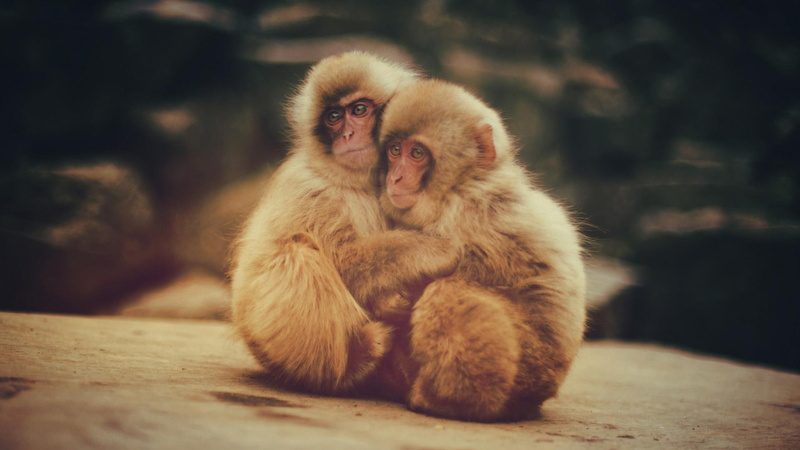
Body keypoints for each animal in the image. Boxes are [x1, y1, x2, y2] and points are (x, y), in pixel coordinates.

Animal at [229, 52, 460, 395]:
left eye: (359, 110)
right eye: (334, 117)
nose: (348, 135)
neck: (358, 180)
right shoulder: (313, 192)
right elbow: (341, 259)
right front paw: (433, 250)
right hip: (267, 342)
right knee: (297, 254)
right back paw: (348, 365)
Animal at [373, 79, 587, 422]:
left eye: (417, 153)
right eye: (395, 150)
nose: (396, 177)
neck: (461, 185)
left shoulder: (466, 214)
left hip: (531, 368)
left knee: (448, 292)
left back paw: (451, 400)